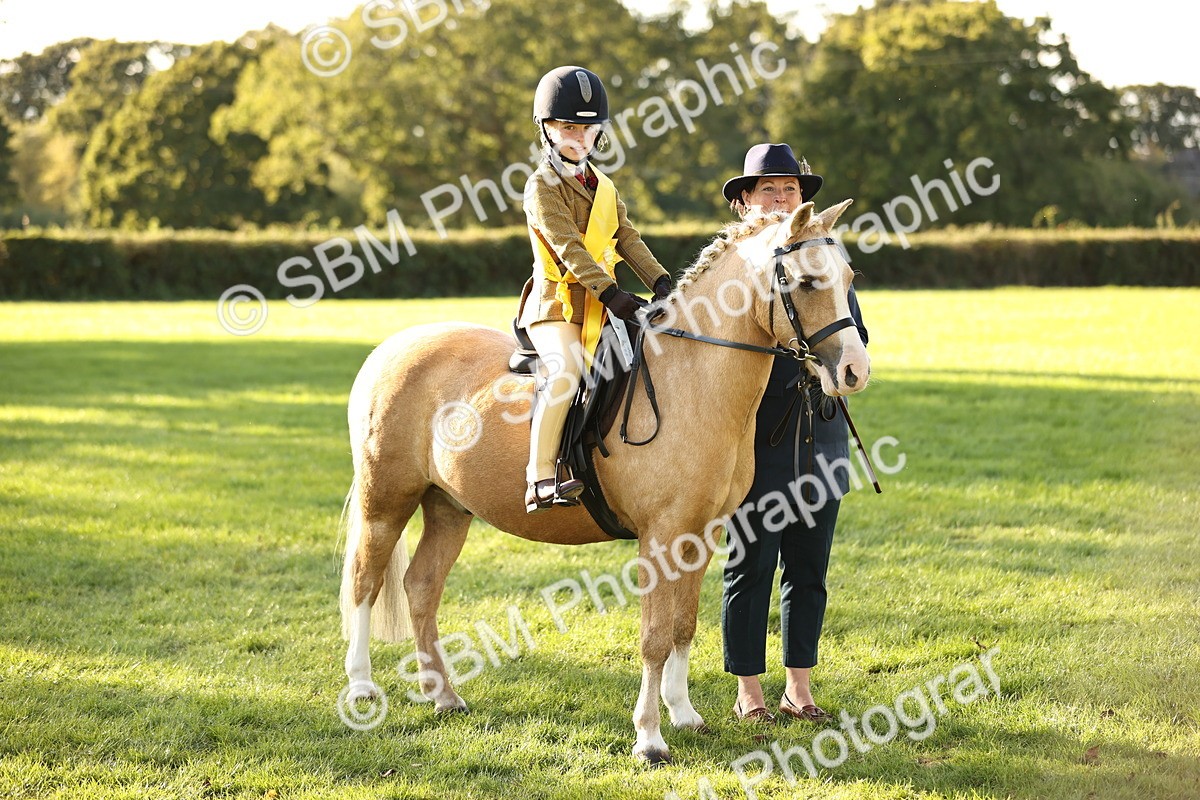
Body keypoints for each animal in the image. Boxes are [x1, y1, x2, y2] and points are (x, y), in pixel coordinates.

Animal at [339, 199, 869, 764]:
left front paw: (684, 714)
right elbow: (654, 636)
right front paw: (650, 738)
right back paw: (362, 689)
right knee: (366, 582)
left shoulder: (701, 534)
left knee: (420, 587)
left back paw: (443, 695)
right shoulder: (659, 537)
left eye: (849, 278)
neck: (691, 375)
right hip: (385, 502)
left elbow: (683, 624)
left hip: (448, 507)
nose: (855, 371)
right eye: (808, 282)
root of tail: (392, 347)